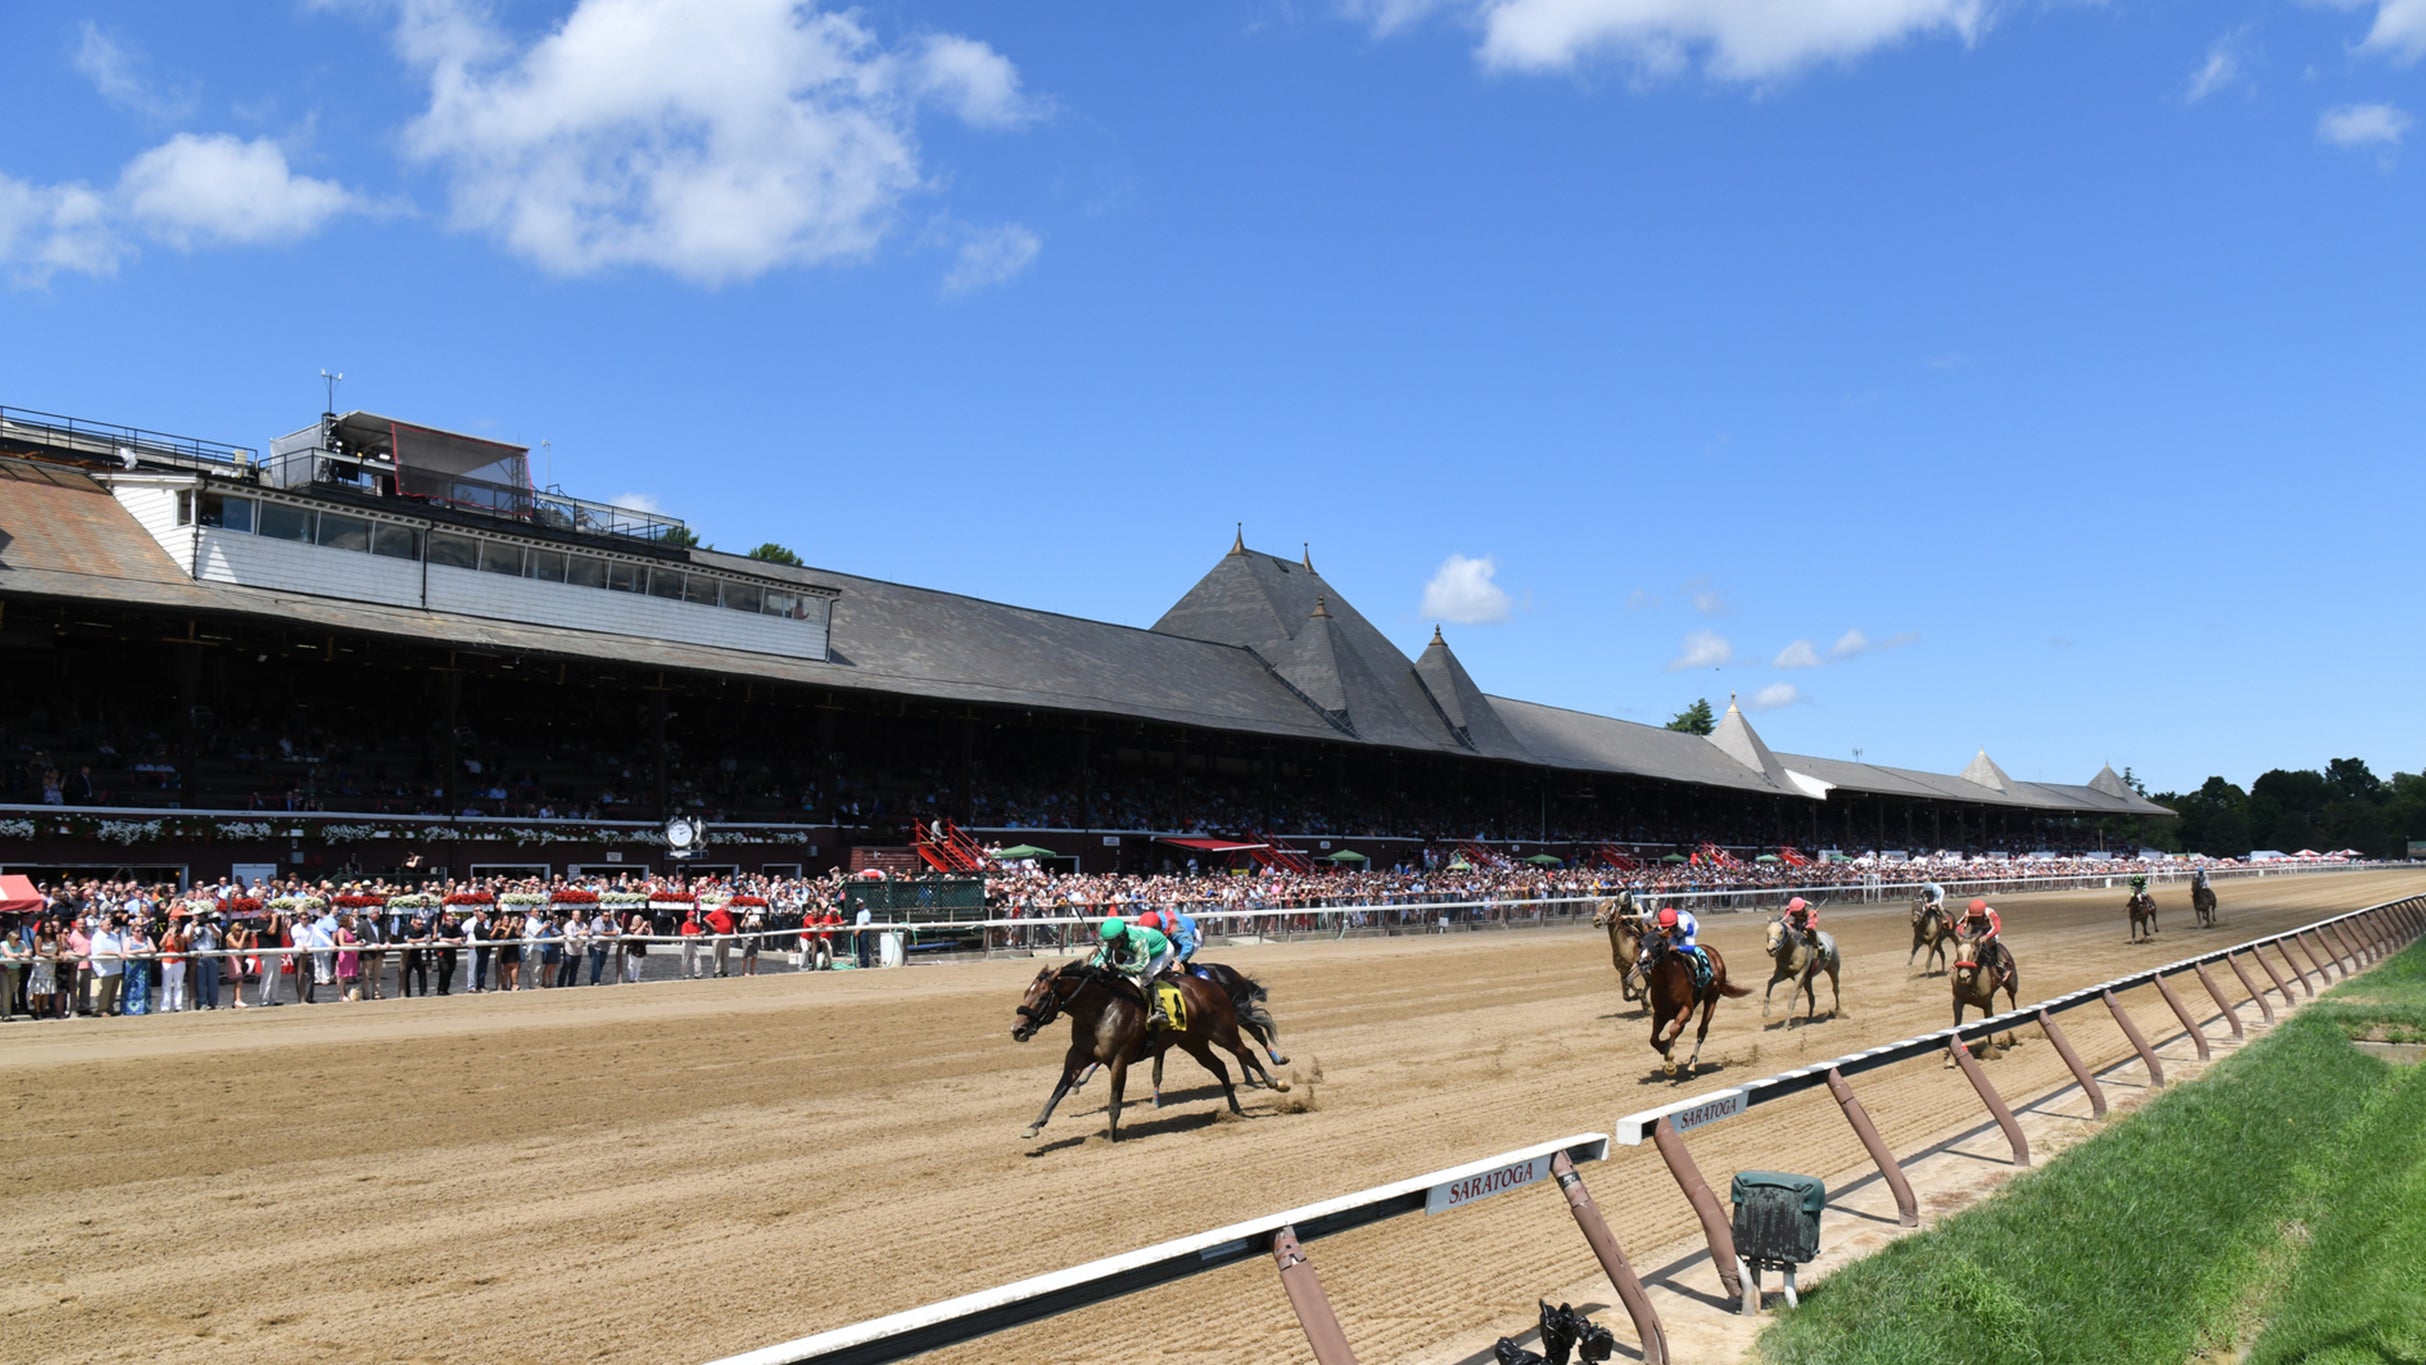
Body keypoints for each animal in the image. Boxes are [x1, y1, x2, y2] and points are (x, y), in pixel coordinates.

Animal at [1009, 960, 1290, 1144]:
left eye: (1042, 996)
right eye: (1025, 993)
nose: (1017, 1030)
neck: (1101, 1009)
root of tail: (1212, 985)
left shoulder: (1119, 1059)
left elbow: (1114, 1101)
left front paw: (1110, 1138)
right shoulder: (1077, 1055)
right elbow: (1058, 1090)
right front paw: (1034, 1126)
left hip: (1224, 1032)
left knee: (1248, 1052)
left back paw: (1276, 1082)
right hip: (1194, 1042)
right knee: (1220, 1066)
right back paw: (1235, 1108)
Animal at [1639, 940, 1737, 1081]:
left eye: (1658, 944)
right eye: (1640, 944)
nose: (1642, 962)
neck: (1667, 980)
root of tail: (1715, 953)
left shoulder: (1686, 1009)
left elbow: (1673, 1029)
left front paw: (1670, 1063)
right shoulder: (1660, 1014)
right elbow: (1654, 1039)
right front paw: (1664, 1048)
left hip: (1712, 997)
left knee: (1702, 1030)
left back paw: (1692, 1062)